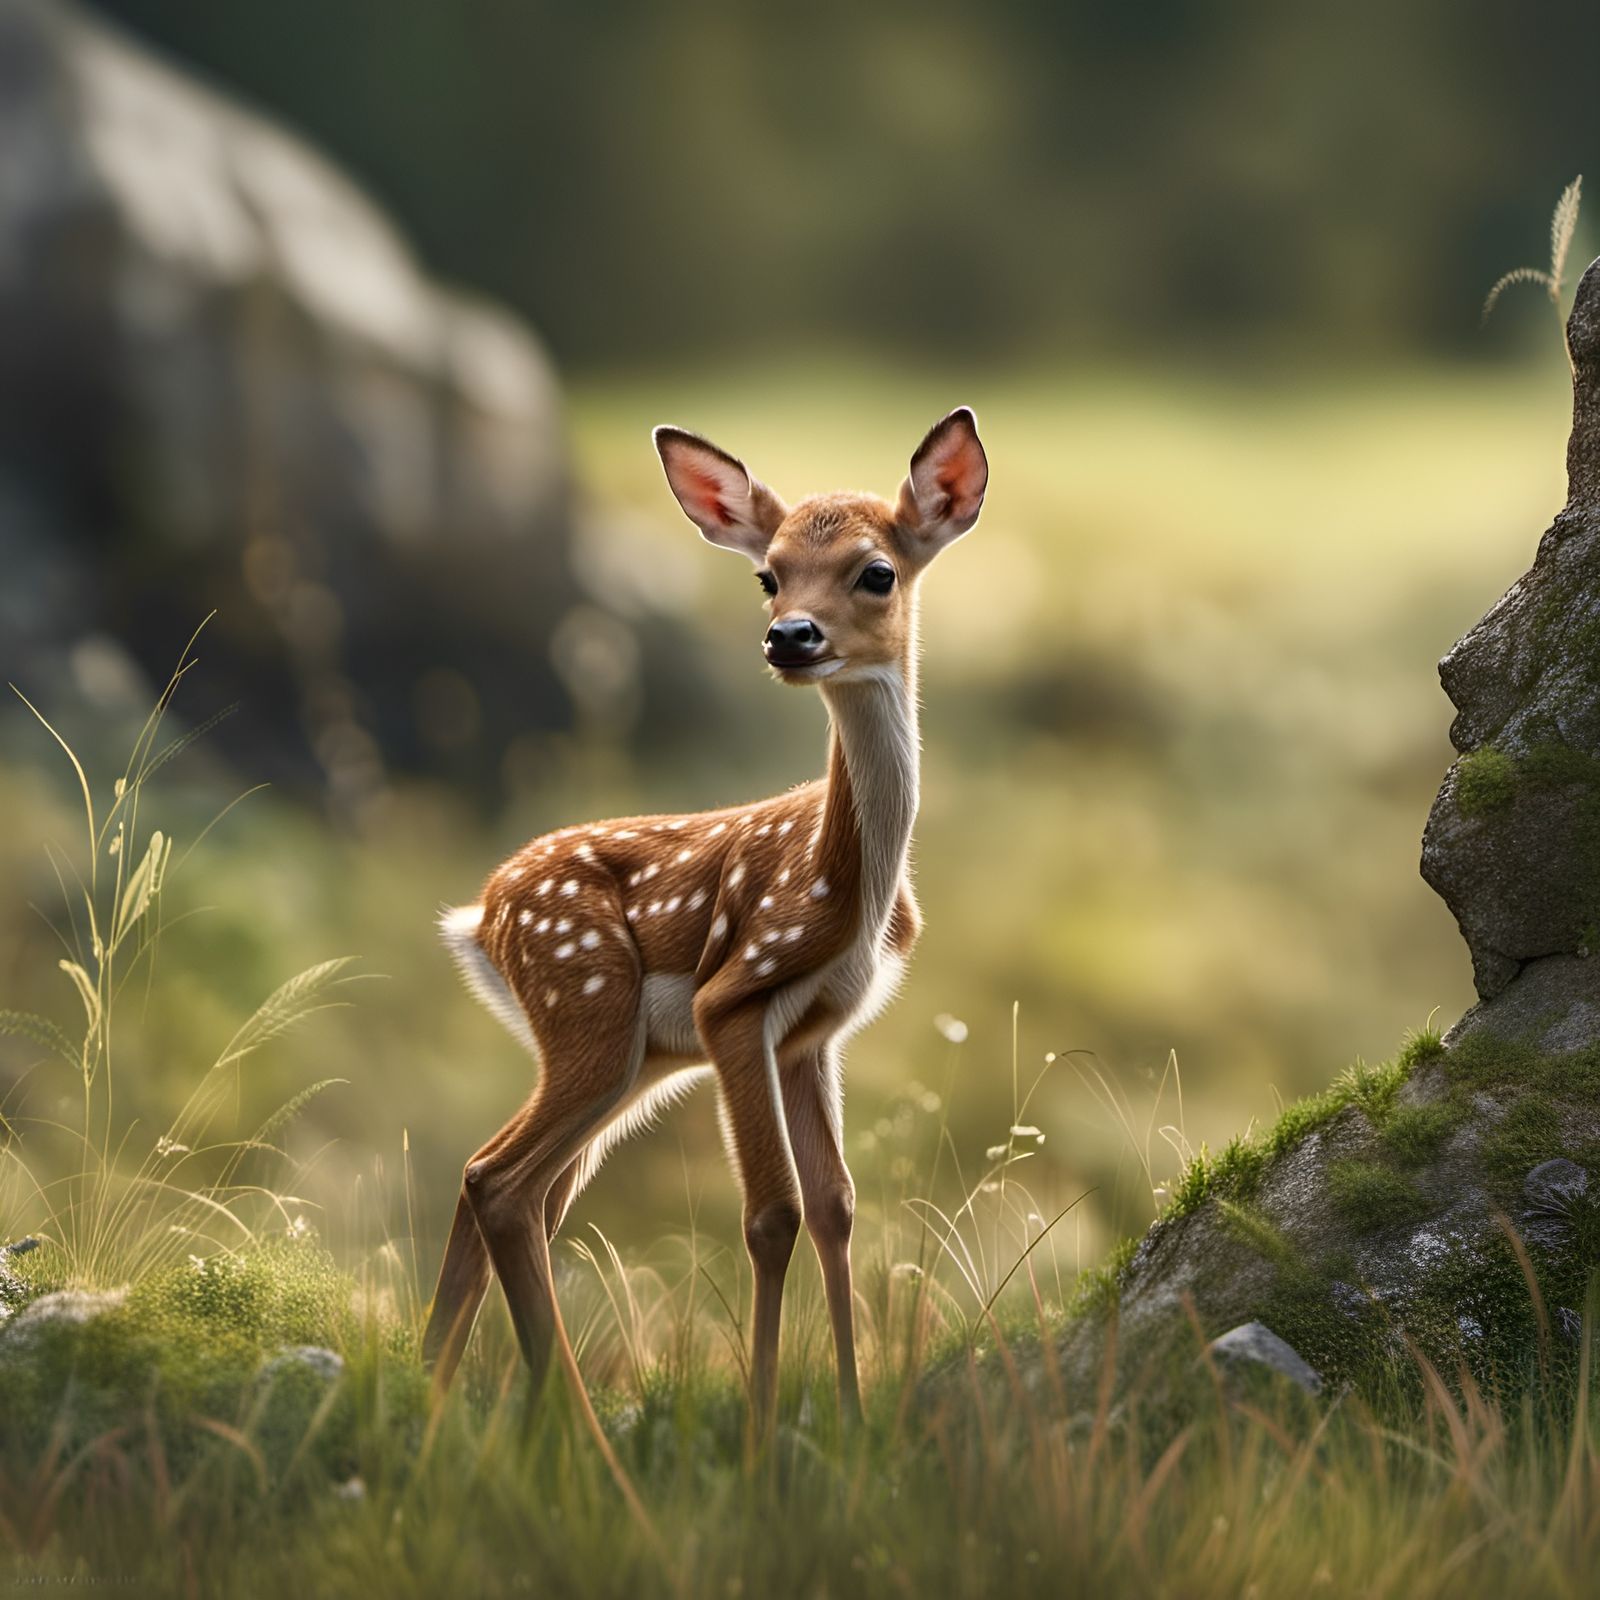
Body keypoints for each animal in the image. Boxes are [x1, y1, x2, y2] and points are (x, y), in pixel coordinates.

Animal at [422, 407, 989, 1438]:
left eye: (876, 571)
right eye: (768, 573)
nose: (789, 637)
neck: (852, 885)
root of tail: (479, 917)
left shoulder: (814, 1033)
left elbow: (838, 1204)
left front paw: (853, 1425)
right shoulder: (735, 1000)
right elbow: (772, 1216)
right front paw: (763, 1442)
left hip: (629, 1056)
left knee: (516, 1189)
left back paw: (430, 1400)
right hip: (590, 1007)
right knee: (501, 1182)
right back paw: (580, 1442)